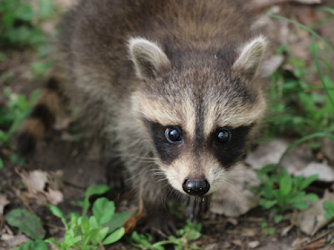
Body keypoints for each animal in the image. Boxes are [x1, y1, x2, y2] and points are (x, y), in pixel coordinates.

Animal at [17, 0, 268, 234]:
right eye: (173, 133)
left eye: (223, 135)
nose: (196, 186)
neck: (198, 45)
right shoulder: (128, 108)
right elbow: (136, 156)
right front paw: (155, 205)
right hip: (84, 60)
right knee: (94, 110)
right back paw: (108, 153)